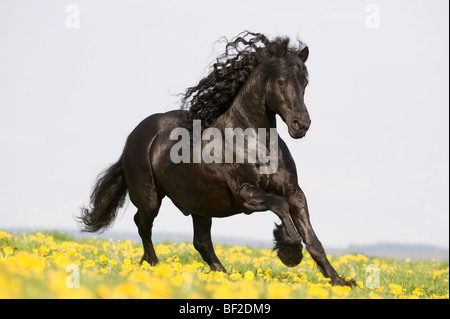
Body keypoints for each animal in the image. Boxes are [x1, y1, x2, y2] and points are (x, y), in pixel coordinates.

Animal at [81, 31, 356, 288]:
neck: (254, 142)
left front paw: (341, 282)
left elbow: (312, 238)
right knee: (143, 224)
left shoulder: (294, 192)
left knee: (201, 242)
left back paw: (223, 275)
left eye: (305, 81)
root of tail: (137, 134)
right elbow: (280, 206)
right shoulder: (246, 194)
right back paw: (154, 265)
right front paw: (290, 251)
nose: (301, 125)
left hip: (199, 203)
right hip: (150, 198)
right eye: (280, 81)